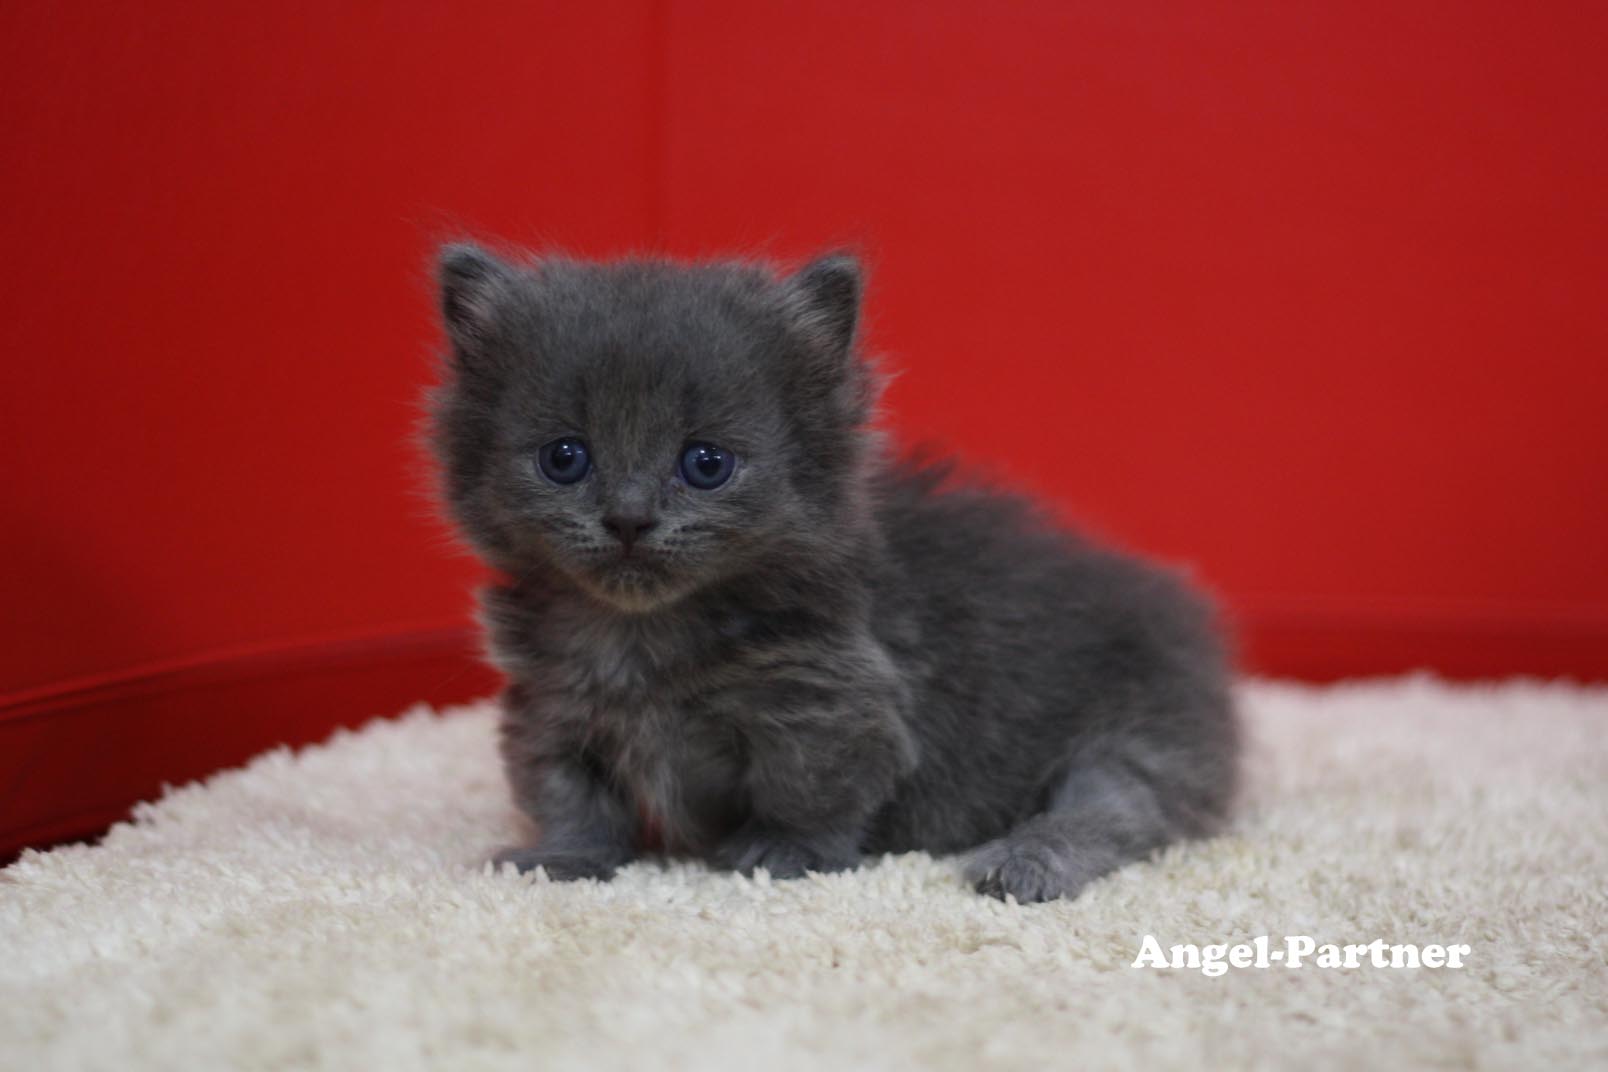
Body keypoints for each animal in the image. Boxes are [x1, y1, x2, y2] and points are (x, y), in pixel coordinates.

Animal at [424, 242, 1228, 906]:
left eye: (706, 463)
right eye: (564, 458)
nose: (628, 518)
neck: (641, 634)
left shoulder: (831, 703)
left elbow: (808, 789)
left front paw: (783, 853)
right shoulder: (553, 707)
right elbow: (567, 794)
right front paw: (562, 859)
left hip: (1137, 735)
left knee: (1116, 813)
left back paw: (1024, 862)